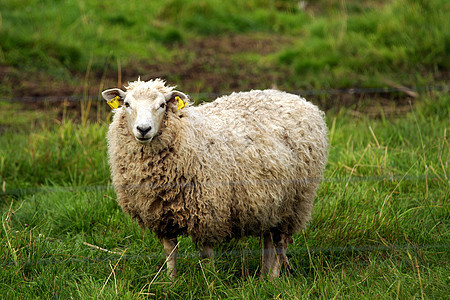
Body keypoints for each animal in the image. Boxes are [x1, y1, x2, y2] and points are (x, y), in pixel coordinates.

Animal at [101, 78, 326, 278]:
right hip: (269, 203)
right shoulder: (162, 215)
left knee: (280, 243)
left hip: (295, 202)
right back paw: (264, 277)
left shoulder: (208, 212)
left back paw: (273, 277)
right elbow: (170, 252)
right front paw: (171, 281)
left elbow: (206, 255)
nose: (143, 129)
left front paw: (209, 282)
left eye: (162, 105)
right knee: (268, 239)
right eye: (127, 104)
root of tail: (297, 99)